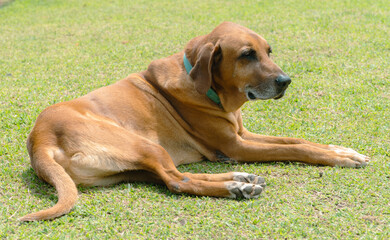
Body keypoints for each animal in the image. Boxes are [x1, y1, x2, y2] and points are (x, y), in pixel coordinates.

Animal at [19, 22, 370, 221]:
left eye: (268, 51)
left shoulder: (242, 133)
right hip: (143, 145)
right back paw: (234, 187)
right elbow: (296, 149)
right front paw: (340, 158)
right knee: (177, 181)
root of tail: (39, 140)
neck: (212, 91)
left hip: (126, 169)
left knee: (173, 176)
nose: (286, 81)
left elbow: (296, 140)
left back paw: (241, 180)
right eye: (247, 54)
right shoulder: (237, 145)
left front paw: (341, 151)